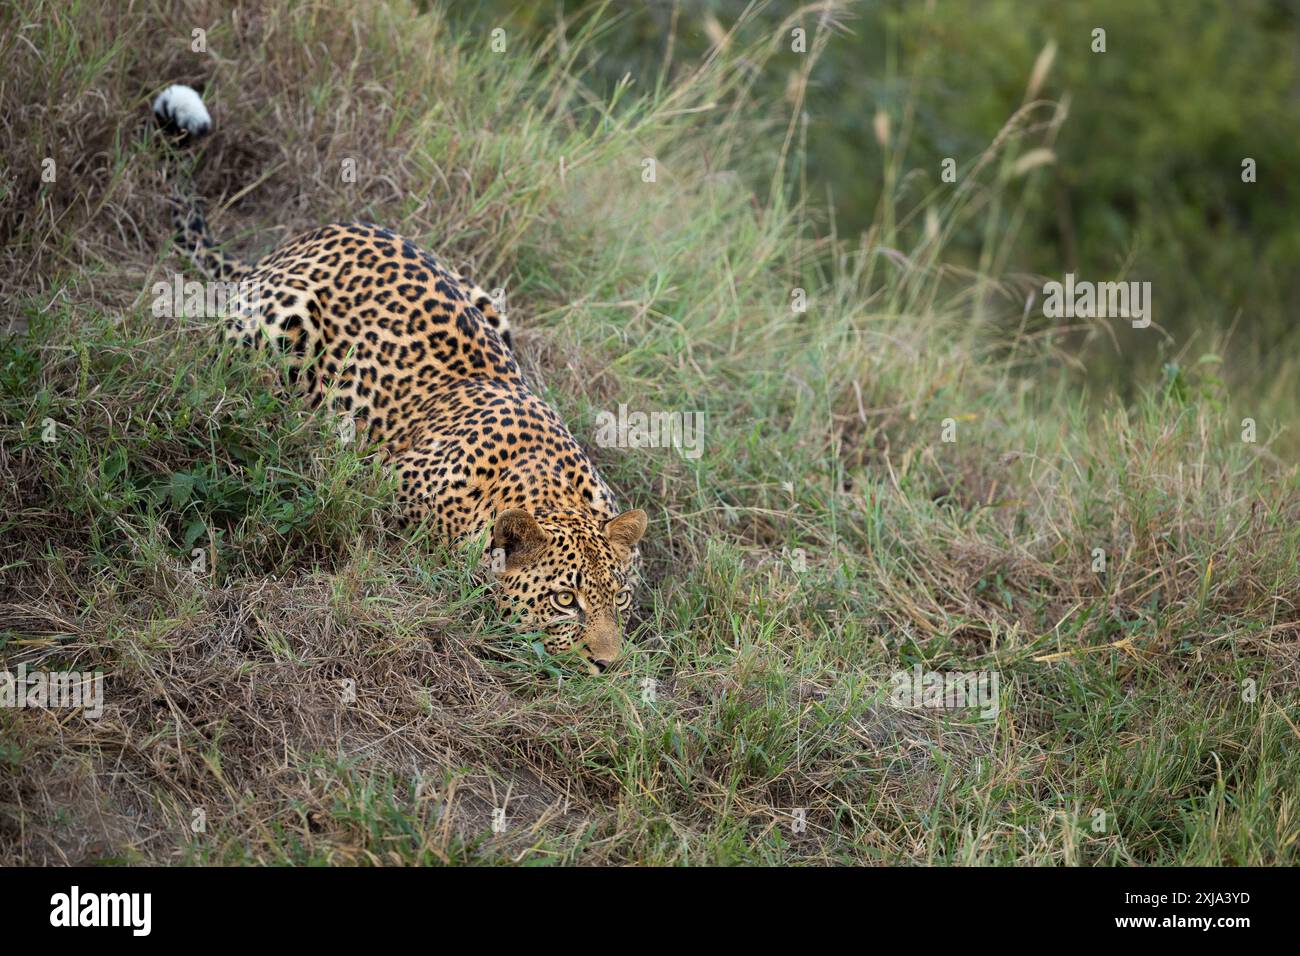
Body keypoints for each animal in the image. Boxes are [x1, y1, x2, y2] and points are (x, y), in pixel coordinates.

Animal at [153, 83, 647, 674]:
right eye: (566, 600)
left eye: (619, 597)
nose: (609, 666)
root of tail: (309, 236)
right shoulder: (384, 491)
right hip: (277, 324)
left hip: (489, 303)